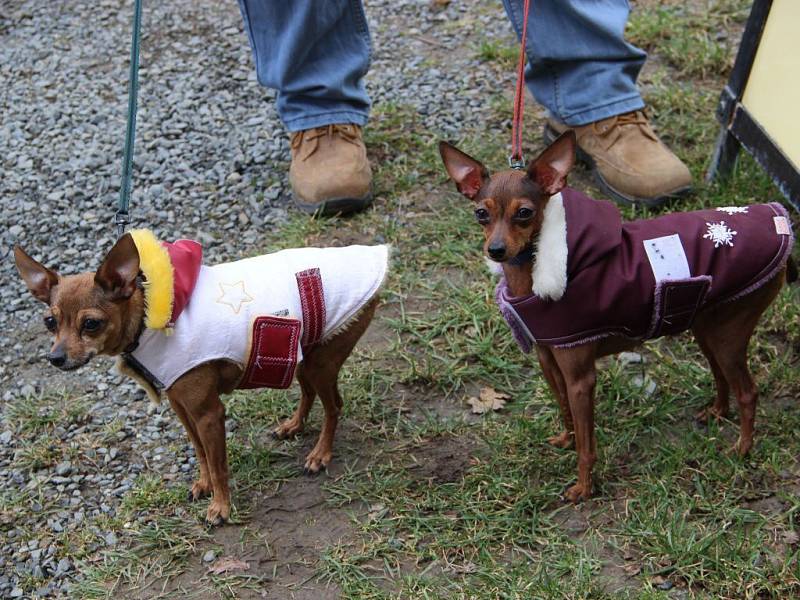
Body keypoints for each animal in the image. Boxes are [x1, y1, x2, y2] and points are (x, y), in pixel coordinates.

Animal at [12, 232, 388, 524]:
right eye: (50, 322)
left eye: (91, 324)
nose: (55, 358)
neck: (148, 319)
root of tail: (375, 255)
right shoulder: (182, 407)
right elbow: (202, 452)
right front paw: (205, 485)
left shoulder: (208, 413)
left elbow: (219, 463)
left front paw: (221, 507)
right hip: (301, 353)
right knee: (309, 391)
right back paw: (293, 425)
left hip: (321, 361)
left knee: (334, 405)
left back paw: (320, 454)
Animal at [440, 134, 796, 504]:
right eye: (481, 214)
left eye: (524, 213)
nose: (495, 250)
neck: (535, 274)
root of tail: (779, 222)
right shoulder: (549, 361)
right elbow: (565, 410)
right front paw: (566, 439)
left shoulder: (580, 378)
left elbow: (587, 444)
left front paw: (584, 488)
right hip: (707, 328)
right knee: (721, 375)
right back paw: (717, 413)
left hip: (729, 333)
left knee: (748, 392)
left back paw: (742, 450)